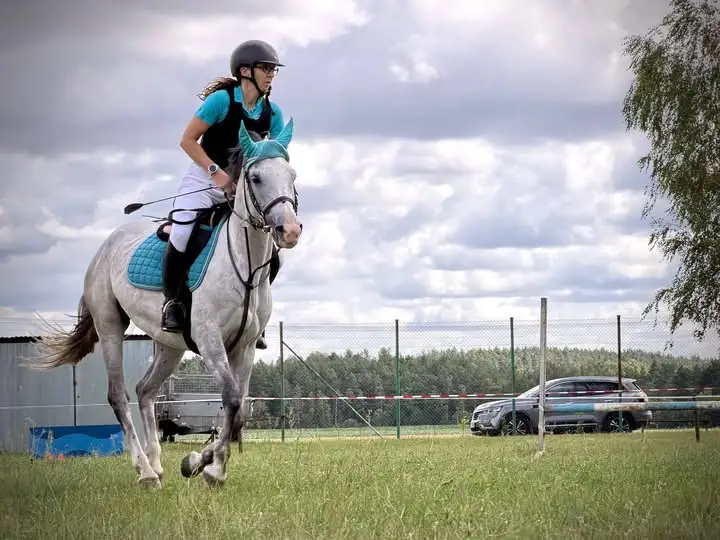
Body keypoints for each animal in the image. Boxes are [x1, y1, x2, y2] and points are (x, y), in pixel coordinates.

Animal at [25, 118, 302, 489]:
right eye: (256, 178)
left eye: (292, 175)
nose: (290, 231)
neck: (243, 263)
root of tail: (106, 245)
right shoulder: (210, 340)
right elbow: (230, 398)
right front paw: (212, 469)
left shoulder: (243, 347)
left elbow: (239, 408)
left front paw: (200, 462)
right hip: (110, 326)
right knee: (118, 395)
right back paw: (145, 471)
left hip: (169, 345)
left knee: (145, 391)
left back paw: (156, 464)